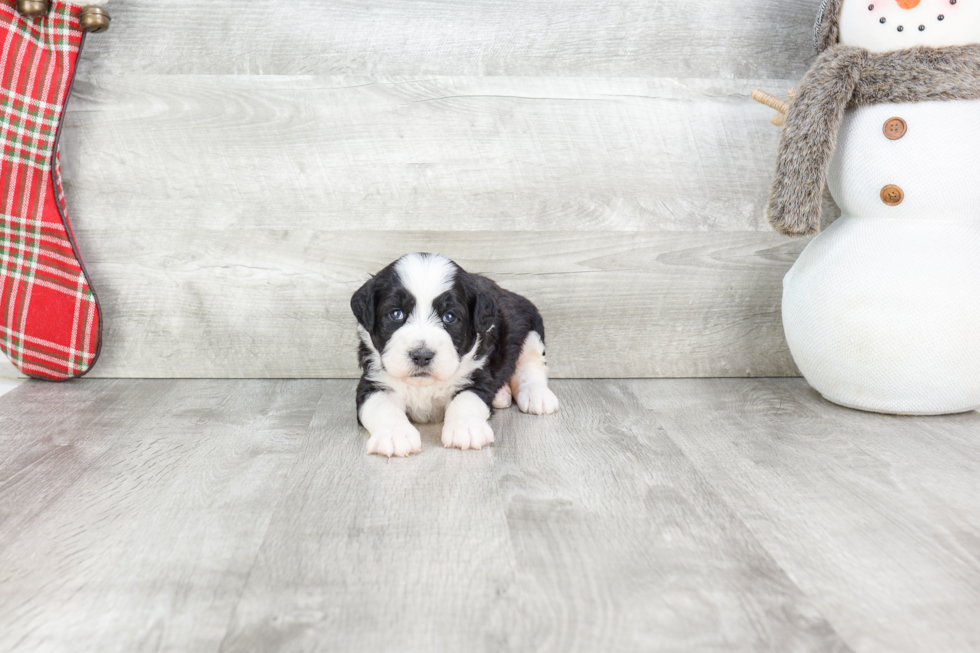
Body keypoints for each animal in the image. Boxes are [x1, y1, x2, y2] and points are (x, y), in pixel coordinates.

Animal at [350, 252, 560, 456]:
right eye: (396, 314)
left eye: (449, 317)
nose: (421, 356)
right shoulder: (374, 381)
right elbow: (382, 406)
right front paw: (395, 435)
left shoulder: (476, 376)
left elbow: (465, 399)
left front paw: (466, 428)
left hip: (529, 328)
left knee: (531, 364)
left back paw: (537, 395)